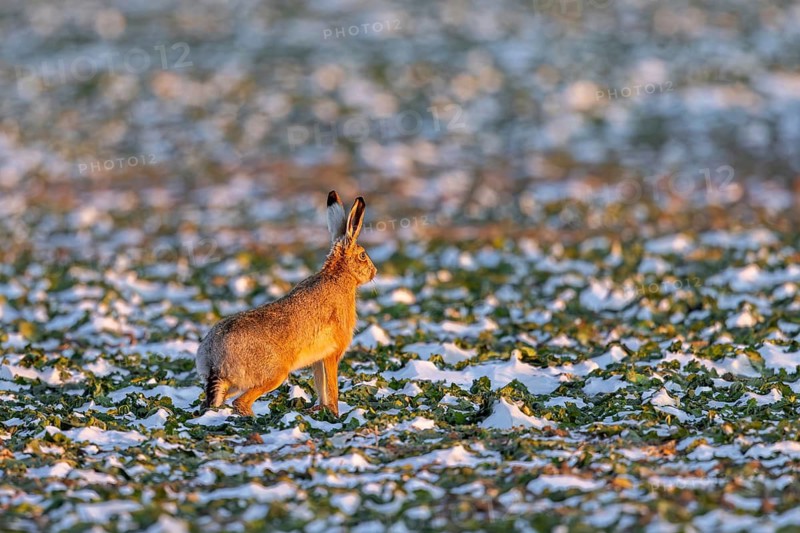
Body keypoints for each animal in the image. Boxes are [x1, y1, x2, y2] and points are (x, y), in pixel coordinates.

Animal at [195, 191, 377, 417]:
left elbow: (322, 388)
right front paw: (335, 414)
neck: (339, 275)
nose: (374, 272)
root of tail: (214, 359)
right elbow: (332, 389)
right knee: (241, 403)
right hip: (275, 374)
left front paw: (322, 410)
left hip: (232, 385)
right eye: (362, 255)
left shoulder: (318, 360)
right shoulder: (332, 354)